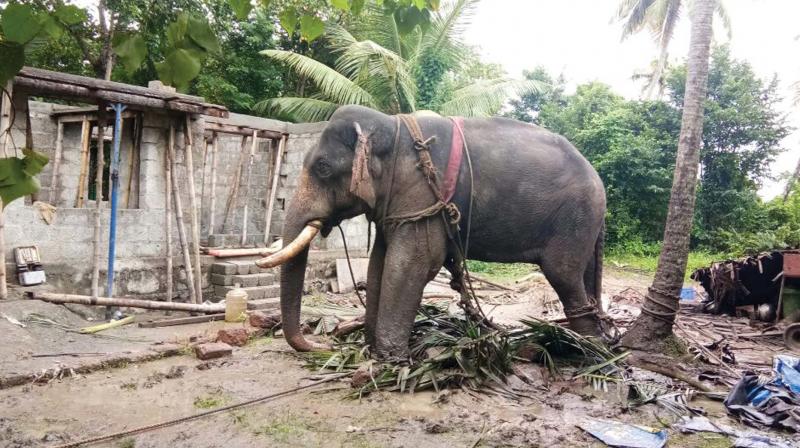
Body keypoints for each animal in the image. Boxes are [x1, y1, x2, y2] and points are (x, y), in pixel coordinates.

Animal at [258, 104, 608, 360]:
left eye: (323, 168)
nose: (325, 344)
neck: (391, 125)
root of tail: (597, 178)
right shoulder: (398, 204)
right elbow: (378, 263)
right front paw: (370, 351)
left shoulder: (422, 193)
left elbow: (413, 263)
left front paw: (390, 361)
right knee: (584, 275)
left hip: (574, 217)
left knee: (563, 274)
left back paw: (586, 352)